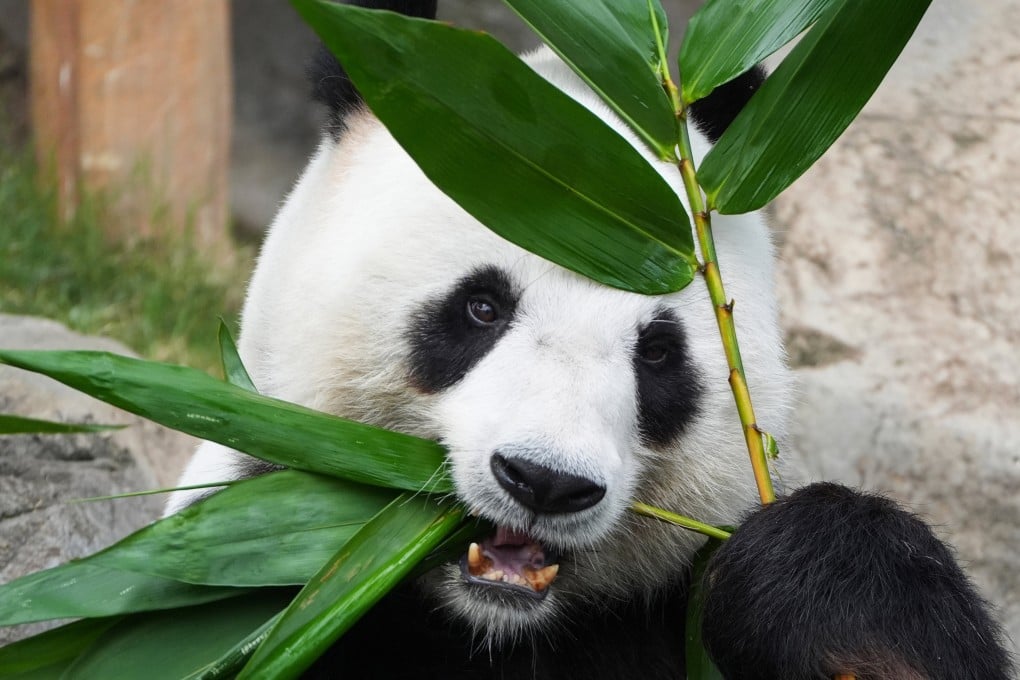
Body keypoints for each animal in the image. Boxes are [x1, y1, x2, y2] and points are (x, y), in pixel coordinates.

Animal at [167, 2, 1012, 678]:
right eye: (481, 308)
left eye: (658, 353)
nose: (545, 482)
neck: (494, 626)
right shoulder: (270, 581)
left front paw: (821, 583)